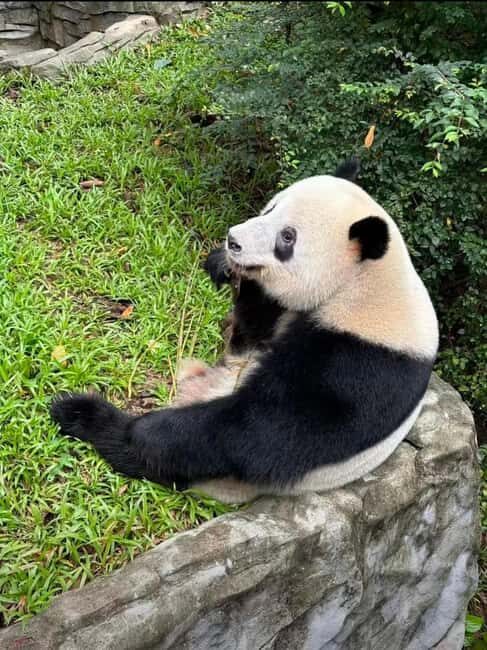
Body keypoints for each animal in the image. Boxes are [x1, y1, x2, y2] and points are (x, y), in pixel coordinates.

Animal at [51, 160, 438, 504]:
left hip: (213, 476)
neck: (365, 281)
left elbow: (265, 431)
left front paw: (134, 429)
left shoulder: (363, 361)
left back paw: (87, 416)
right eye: (271, 207)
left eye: (287, 237)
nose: (233, 240)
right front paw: (223, 266)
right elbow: (254, 326)